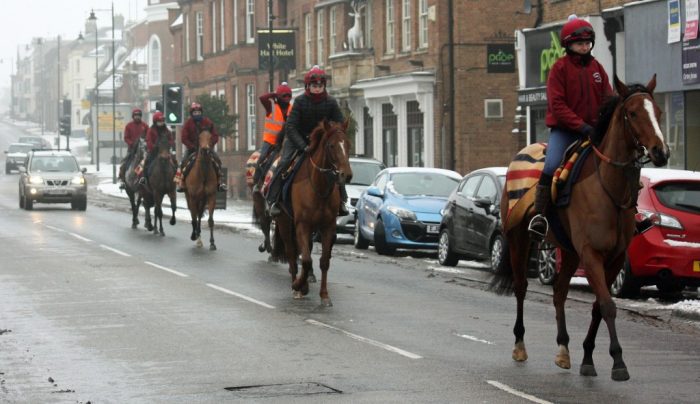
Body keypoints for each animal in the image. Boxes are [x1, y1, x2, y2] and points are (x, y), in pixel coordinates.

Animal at [271, 120, 352, 306]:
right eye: (331, 145)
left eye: (348, 144)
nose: (346, 175)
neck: (319, 186)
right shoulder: (302, 225)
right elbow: (306, 259)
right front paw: (297, 285)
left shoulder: (328, 227)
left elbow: (324, 261)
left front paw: (324, 295)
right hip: (285, 224)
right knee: (292, 255)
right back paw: (297, 286)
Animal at [490, 75, 669, 381]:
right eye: (633, 113)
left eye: (657, 112)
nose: (661, 152)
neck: (608, 187)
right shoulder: (592, 254)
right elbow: (607, 305)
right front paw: (618, 362)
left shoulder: (614, 258)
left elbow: (599, 306)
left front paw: (588, 357)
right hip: (518, 240)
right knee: (521, 287)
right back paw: (520, 345)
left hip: (569, 251)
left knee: (559, 291)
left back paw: (564, 349)